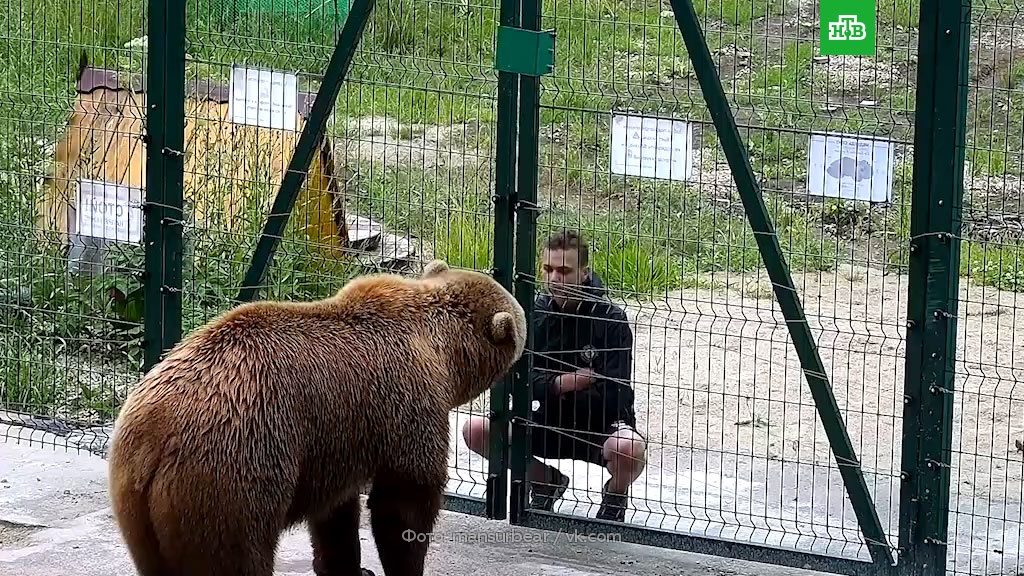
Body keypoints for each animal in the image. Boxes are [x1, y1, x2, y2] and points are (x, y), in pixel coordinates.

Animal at [107, 260, 528, 573]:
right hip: (231, 475)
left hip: (136, 509)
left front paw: (352, 568)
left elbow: (335, 514)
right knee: (237, 555)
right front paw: (402, 563)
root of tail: (154, 442)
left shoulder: (338, 442)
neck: (442, 352)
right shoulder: (409, 402)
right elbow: (404, 499)